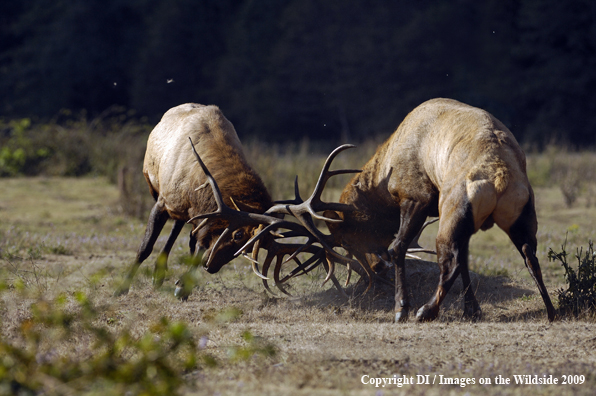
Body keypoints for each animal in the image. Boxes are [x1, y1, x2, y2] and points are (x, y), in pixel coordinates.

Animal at [249, 98, 556, 322]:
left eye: (347, 238)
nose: (374, 267)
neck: (387, 171)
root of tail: (499, 175)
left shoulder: (415, 196)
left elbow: (398, 247)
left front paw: (401, 308)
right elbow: (468, 260)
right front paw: (472, 309)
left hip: (452, 204)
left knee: (450, 259)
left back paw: (425, 311)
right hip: (521, 211)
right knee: (529, 255)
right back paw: (551, 309)